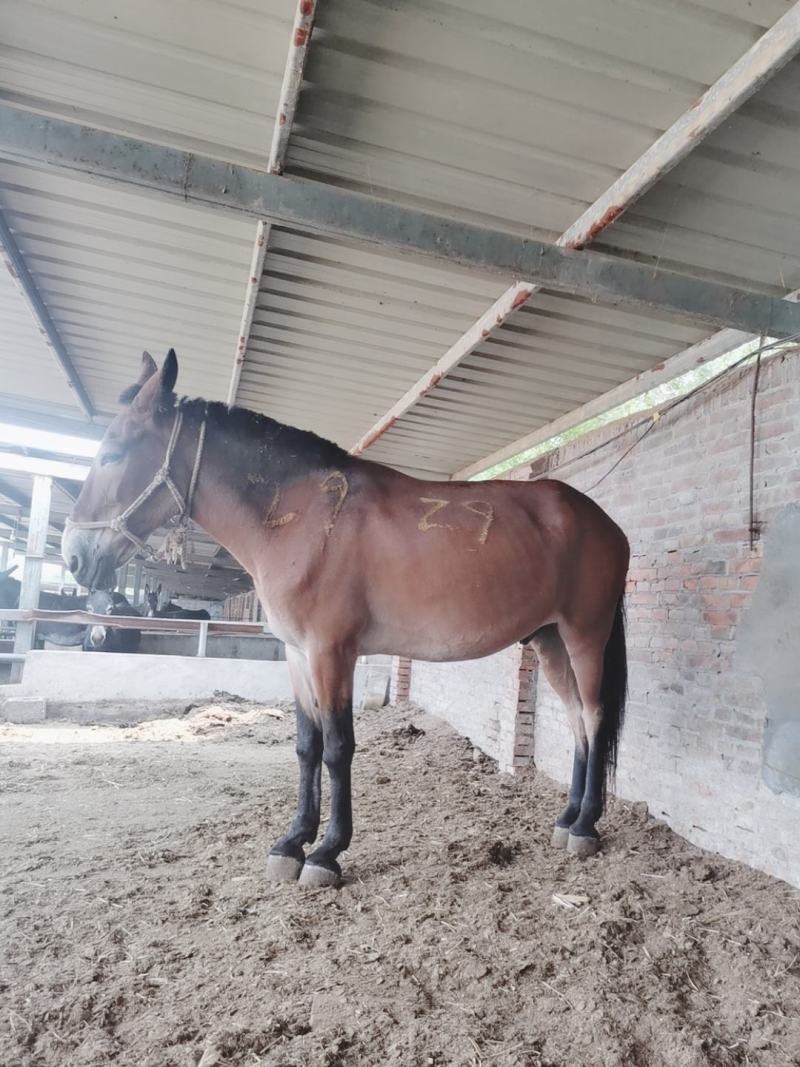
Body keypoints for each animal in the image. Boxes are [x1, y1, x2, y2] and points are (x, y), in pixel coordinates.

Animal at [63, 350, 629, 887]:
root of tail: (607, 524)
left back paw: (585, 827)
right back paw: (566, 819)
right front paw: (291, 843)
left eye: (112, 453)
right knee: (576, 720)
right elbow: (306, 745)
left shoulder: (331, 652)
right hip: (550, 641)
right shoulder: (297, 655)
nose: (73, 556)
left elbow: (337, 748)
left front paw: (327, 853)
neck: (306, 518)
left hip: (584, 635)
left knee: (594, 716)